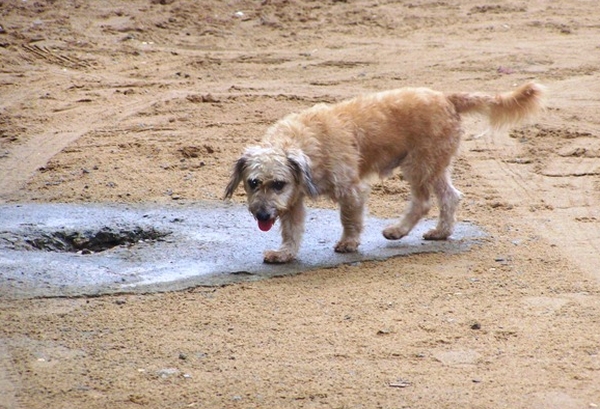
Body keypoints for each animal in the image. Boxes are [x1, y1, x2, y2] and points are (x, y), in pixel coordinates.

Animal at [224, 81, 544, 262]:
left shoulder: (351, 190)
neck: (301, 141)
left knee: (426, 201)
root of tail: (446, 97)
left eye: (278, 184)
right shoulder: (293, 201)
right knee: (449, 197)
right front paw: (285, 254)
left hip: (420, 165)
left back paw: (400, 231)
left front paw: (348, 243)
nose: (262, 215)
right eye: (253, 182)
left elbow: (349, 219)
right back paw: (438, 232)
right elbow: (291, 230)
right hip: (432, 166)